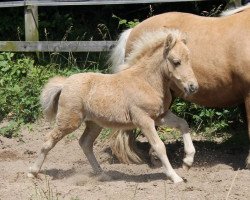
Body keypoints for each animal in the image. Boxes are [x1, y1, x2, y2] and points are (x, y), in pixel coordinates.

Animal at [28, 28, 198, 184]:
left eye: (190, 60)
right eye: (176, 62)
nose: (193, 87)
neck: (147, 82)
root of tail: (64, 84)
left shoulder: (160, 116)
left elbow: (183, 124)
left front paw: (188, 162)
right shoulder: (144, 120)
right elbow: (159, 146)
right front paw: (175, 177)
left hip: (94, 124)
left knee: (85, 144)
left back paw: (103, 175)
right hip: (69, 121)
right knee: (49, 140)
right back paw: (32, 172)